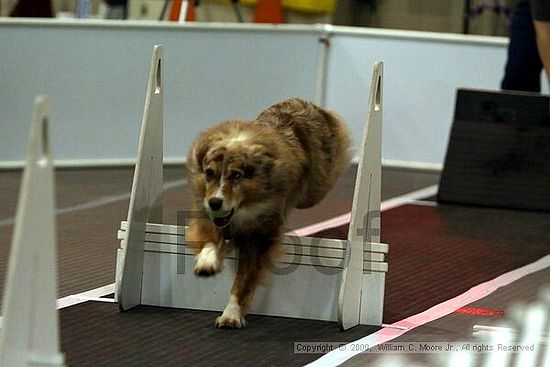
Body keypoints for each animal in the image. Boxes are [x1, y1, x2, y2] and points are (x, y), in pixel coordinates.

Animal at [188, 97, 352, 328]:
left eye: (236, 175)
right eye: (209, 173)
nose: (215, 202)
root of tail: (301, 101)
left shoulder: (259, 236)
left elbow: (244, 279)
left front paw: (232, 313)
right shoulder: (206, 208)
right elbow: (209, 236)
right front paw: (207, 261)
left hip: (316, 186)